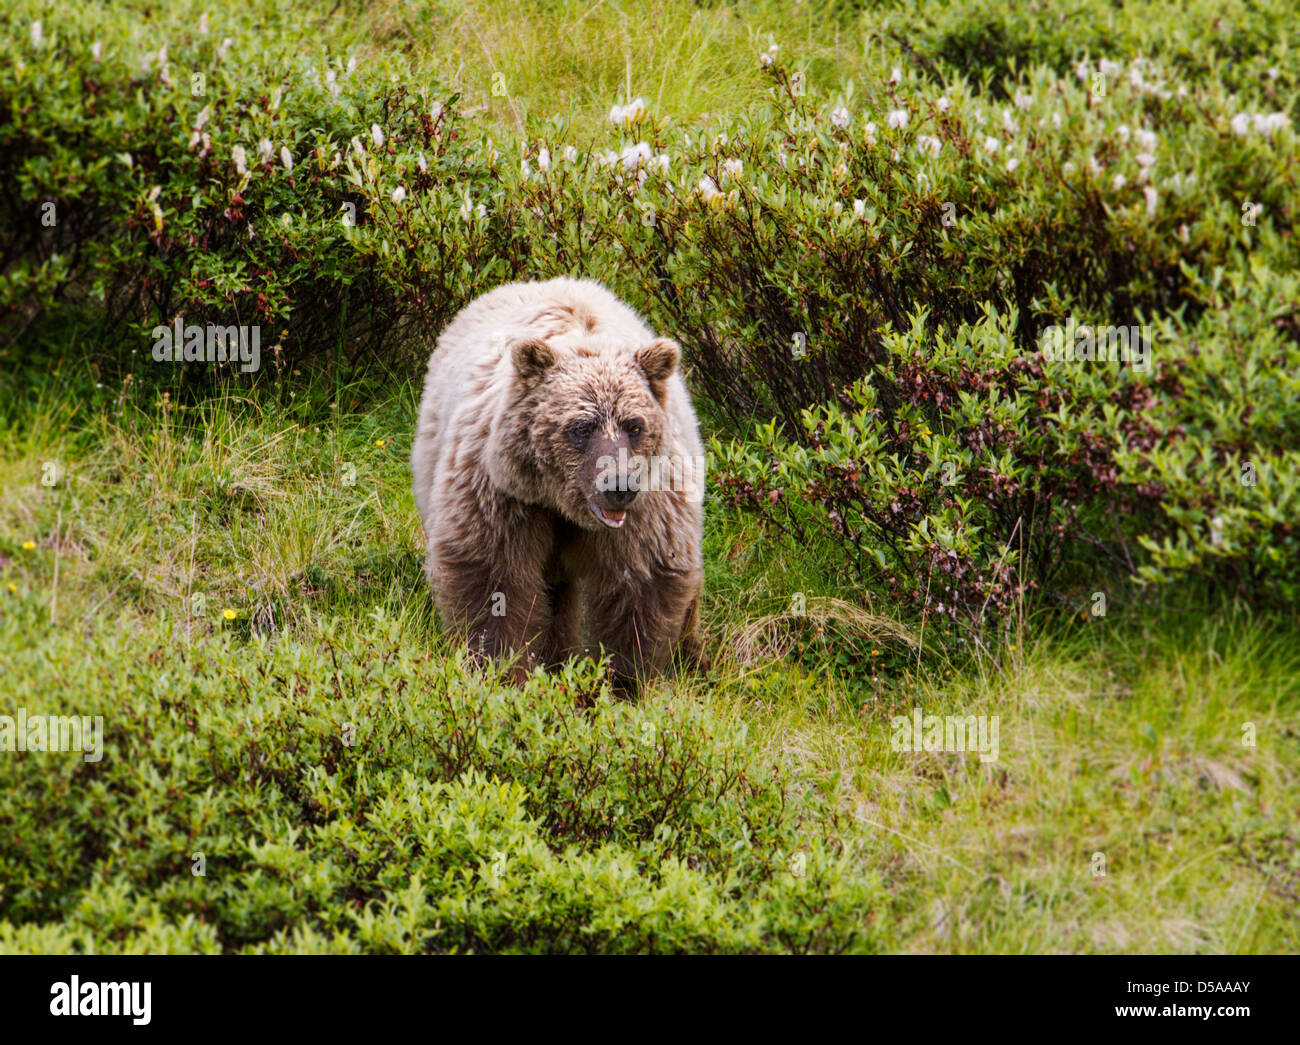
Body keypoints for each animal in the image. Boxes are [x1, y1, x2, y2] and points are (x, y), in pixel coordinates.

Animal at [410, 278, 707, 686]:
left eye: (634, 425)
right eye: (581, 426)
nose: (619, 487)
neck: (562, 503)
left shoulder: (648, 508)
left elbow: (641, 586)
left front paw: (623, 680)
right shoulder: (503, 493)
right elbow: (494, 581)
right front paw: (503, 670)